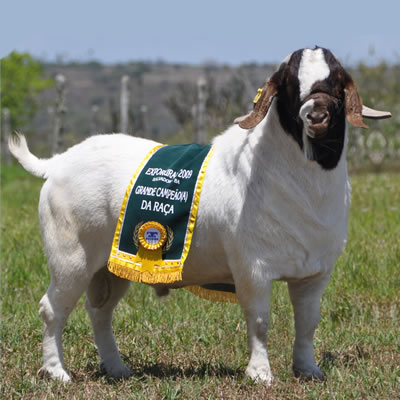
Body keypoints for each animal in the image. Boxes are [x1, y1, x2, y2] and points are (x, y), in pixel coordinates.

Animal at [8, 47, 390, 384]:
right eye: (289, 83)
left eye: (337, 80)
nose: (316, 115)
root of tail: (57, 163)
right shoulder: (253, 268)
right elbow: (259, 321)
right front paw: (260, 374)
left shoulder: (315, 273)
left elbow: (308, 323)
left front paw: (308, 370)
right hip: (70, 259)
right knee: (52, 309)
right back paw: (57, 373)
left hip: (111, 266)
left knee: (100, 312)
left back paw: (116, 368)